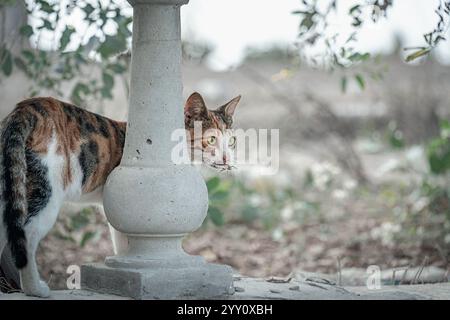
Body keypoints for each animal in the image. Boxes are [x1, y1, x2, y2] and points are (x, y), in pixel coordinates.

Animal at [0, 92, 239, 298]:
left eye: (232, 141)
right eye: (211, 140)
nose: (227, 158)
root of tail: (26, 108)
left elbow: (122, 242)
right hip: (46, 190)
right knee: (27, 234)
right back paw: (35, 289)